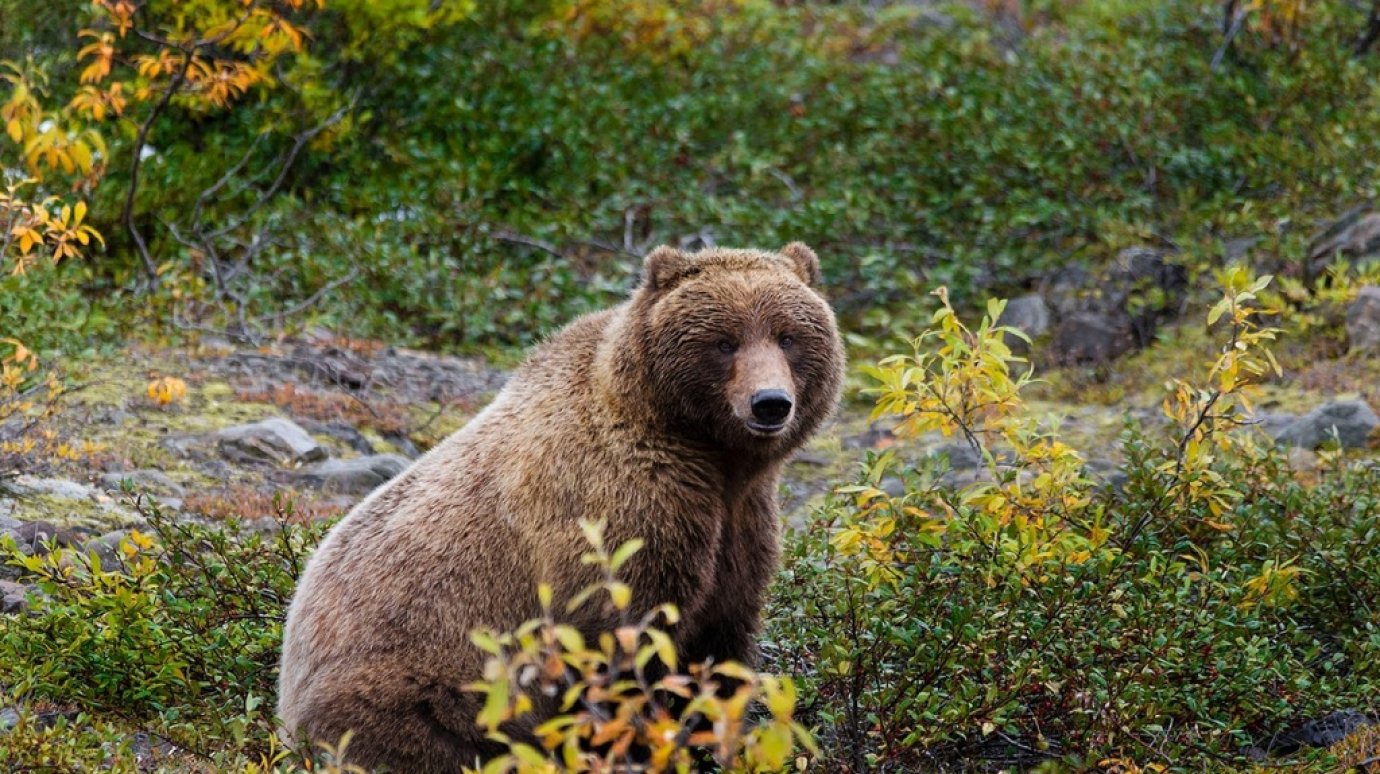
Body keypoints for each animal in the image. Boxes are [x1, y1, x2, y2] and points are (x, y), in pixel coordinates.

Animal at [276, 243, 845, 772]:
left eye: (788, 336)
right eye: (724, 342)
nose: (769, 403)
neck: (706, 454)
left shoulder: (740, 524)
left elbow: (721, 646)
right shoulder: (620, 511)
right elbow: (622, 646)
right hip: (421, 685)